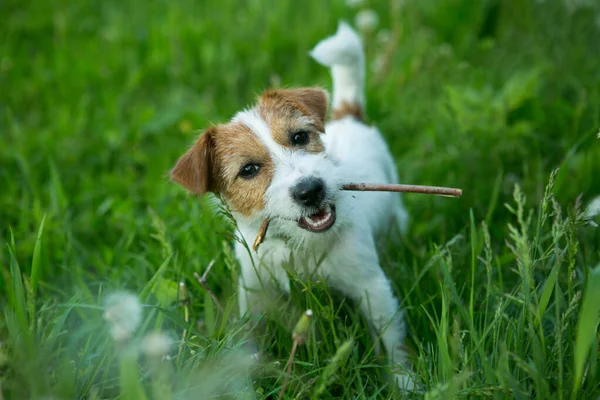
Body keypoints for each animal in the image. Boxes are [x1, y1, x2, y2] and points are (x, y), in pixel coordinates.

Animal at [173, 22, 414, 390]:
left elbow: (392, 342)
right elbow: (250, 338)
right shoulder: (255, 294)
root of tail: (348, 115)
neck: (297, 246)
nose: (310, 190)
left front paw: (407, 383)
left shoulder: (372, 287)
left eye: (300, 137)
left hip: (395, 215)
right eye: (248, 170)